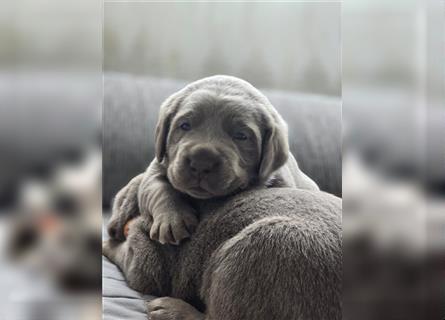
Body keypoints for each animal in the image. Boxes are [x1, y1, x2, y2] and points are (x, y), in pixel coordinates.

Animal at [107, 75, 318, 245]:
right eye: (185, 125)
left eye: (241, 136)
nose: (201, 163)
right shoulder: (158, 166)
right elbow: (159, 189)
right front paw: (172, 221)